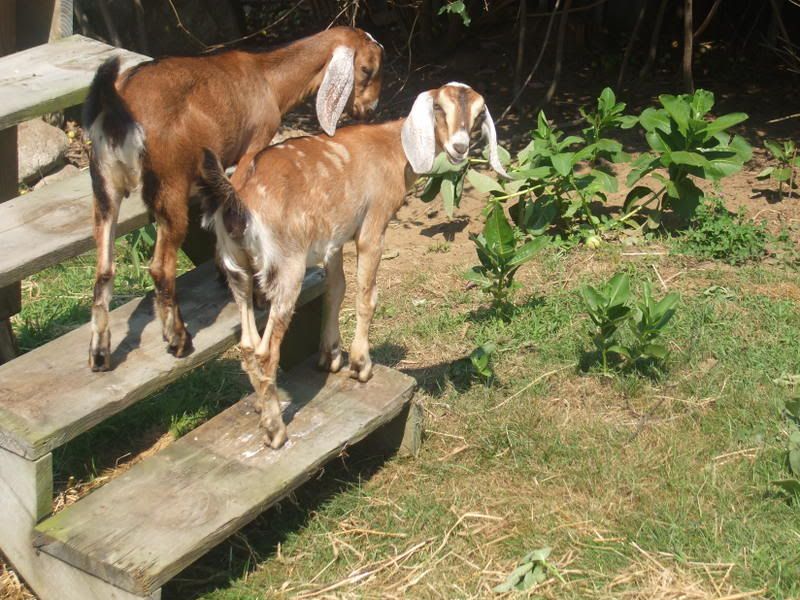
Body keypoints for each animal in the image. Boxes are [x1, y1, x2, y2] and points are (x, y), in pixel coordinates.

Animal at [84, 26, 384, 371]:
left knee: (104, 268)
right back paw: (178, 339)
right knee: (160, 268)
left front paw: (221, 269)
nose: (370, 109)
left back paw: (100, 353)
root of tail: (117, 105)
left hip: (104, 185)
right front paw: (256, 292)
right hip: (170, 184)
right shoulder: (254, 147)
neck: (267, 78)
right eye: (367, 69)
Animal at [199, 82, 507, 448]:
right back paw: (275, 430)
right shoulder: (372, 226)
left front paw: (330, 355)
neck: (393, 148)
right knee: (265, 351)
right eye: (438, 108)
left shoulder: (334, 237)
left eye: (478, 113)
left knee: (247, 344)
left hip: (237, 269)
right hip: (287, 266)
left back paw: (262, 406)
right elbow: (366, 295)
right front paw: (361, 364)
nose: (459, 147)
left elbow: (336, 289)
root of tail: (240, 202)